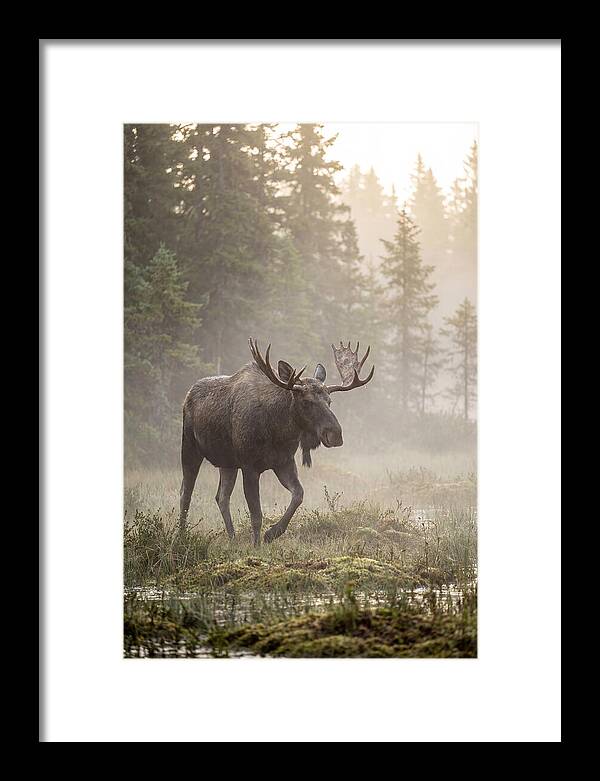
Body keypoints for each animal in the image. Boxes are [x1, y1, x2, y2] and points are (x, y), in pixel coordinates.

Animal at [179, 338, 374, 545]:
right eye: (306, 401)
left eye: (329, 401)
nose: (335, 434)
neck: (278, 431)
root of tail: (188, 395)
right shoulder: (249, 466)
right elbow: (256, 515)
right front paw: (256, 545)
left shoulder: (284, 462)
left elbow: (298, 495)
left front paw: (272, 533)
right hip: (189, 447)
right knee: (185, 493)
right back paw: (181, 535)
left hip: (227, 462)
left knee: (221, 497)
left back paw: (232, 538)